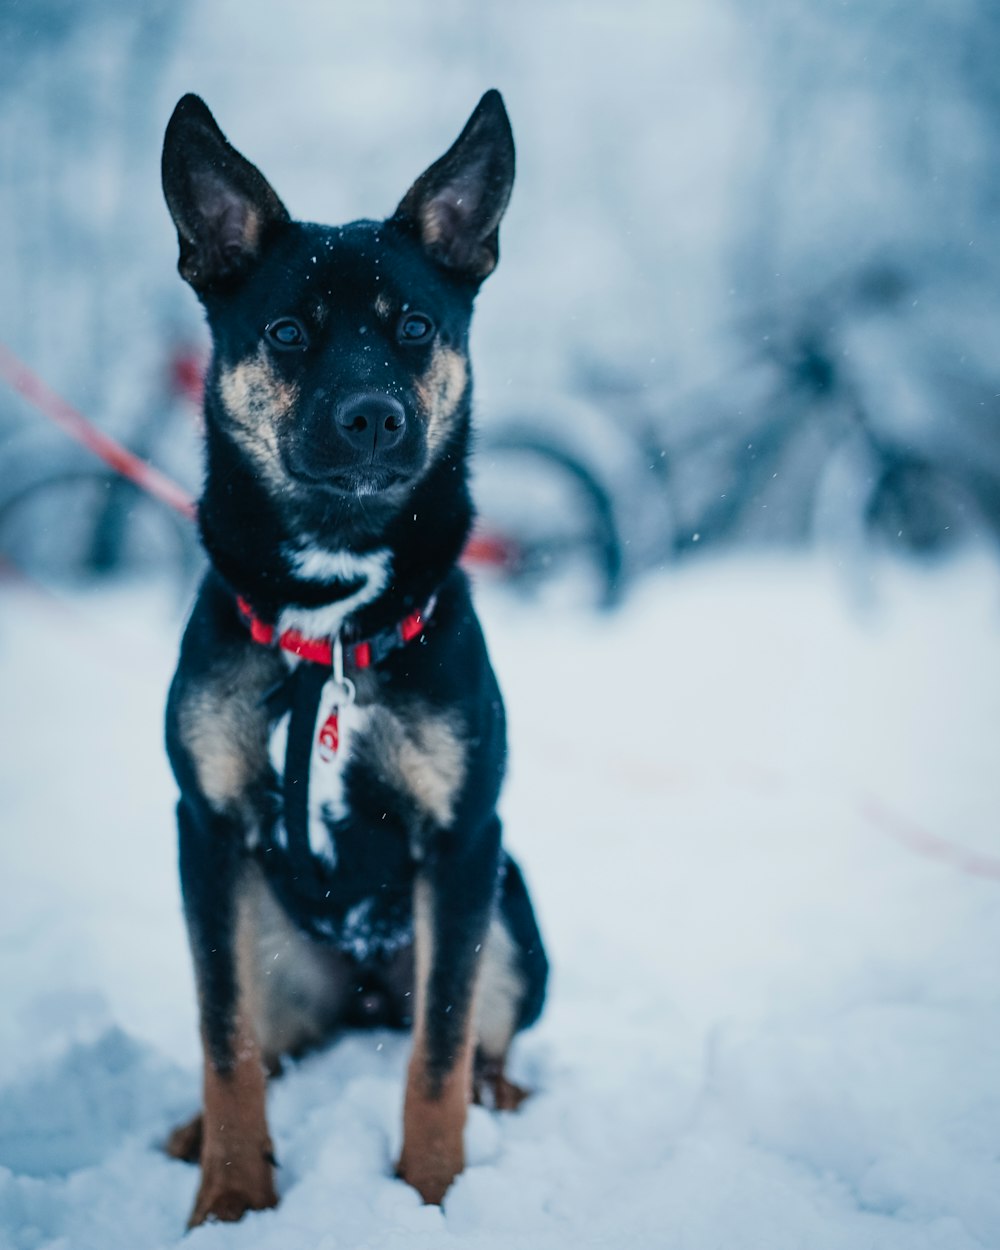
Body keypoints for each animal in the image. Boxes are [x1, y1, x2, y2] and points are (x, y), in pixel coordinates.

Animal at [159, 92, 547, 1225]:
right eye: (289, 333)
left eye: (414, 327)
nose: (373, 416)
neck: (326, 623)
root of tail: (367, 989)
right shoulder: (205, 830)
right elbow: (225, 1041)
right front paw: (230, 1196)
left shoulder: (463, 842)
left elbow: (436, 1057)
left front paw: (433, 1195)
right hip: (271, 935)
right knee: (274, 1038)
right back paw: (193, 1130)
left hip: (511, 913)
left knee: (477, 1040)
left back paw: (501, 1097)